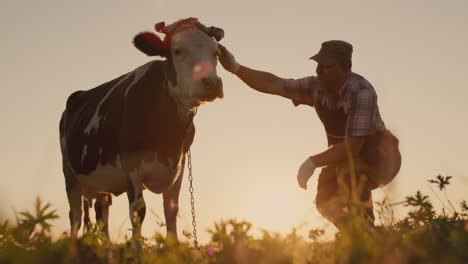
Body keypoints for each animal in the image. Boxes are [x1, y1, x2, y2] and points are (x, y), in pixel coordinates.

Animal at [59, 17, 225, 241]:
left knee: (102, 213)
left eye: (216, 53)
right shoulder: (132, 169)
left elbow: (171, 210)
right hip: (70, 175)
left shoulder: (178, 167)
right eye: (178, 51)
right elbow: (138, 212)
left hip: (102, 183)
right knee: (75, 216)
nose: (211, 83)